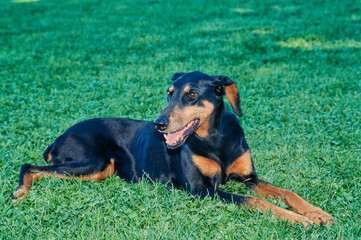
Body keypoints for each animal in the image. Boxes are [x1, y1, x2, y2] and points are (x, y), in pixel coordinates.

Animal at [11, 71, 332, 227]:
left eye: (191, 95)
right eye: (168, 93)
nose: (159, 123)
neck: (215, 138)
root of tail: (59, 137)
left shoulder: (247, 178)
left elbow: (286, 193)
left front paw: (317, 213)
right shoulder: (202, 191)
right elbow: (257, 202)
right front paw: (300, 221)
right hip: (95, 163)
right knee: (30, 166)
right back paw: (20, 193)